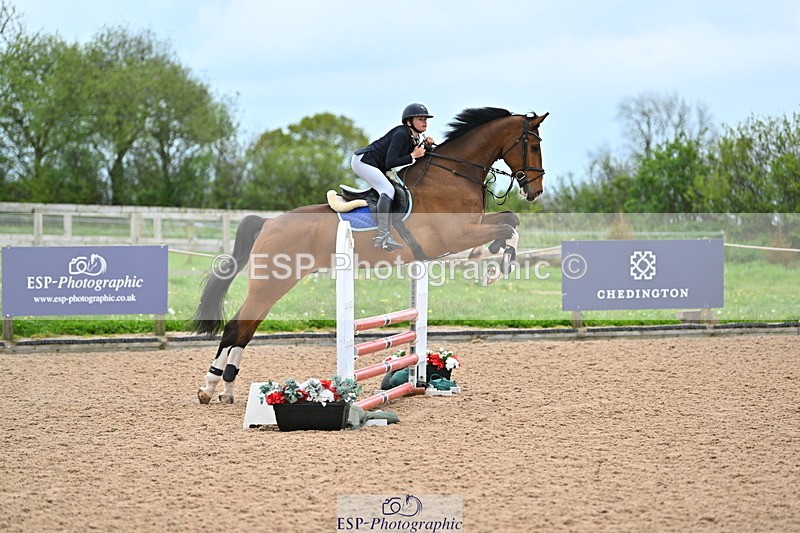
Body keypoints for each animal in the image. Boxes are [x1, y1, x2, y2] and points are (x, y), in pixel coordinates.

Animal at [190, 106, 549, 404]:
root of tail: (268, 223)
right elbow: (507, 227)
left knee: (246, 329)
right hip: (271, 283)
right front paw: (495, 267)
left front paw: (492, 256)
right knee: (235, 328)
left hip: (275, 284)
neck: (452, 175)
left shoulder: (470, 227)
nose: (535, 191)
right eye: (533, 146)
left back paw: (226, 389)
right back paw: (210, 386)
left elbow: (510, 222)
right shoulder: (457, 234)